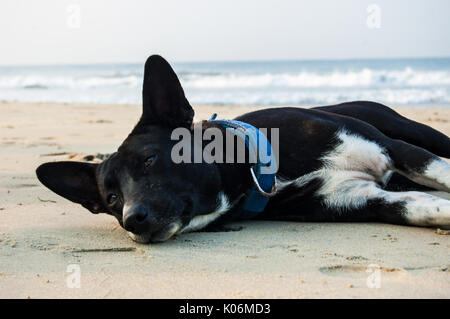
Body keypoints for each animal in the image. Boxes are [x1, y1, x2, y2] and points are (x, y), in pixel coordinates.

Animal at [36, 55, 450, 245]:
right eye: (111, 199)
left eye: (150, 160)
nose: (131, 219)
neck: (264, 169)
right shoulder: (361, 198)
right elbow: (422, 207)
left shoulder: (395, 151)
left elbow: (439, 172)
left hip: (411, 133)